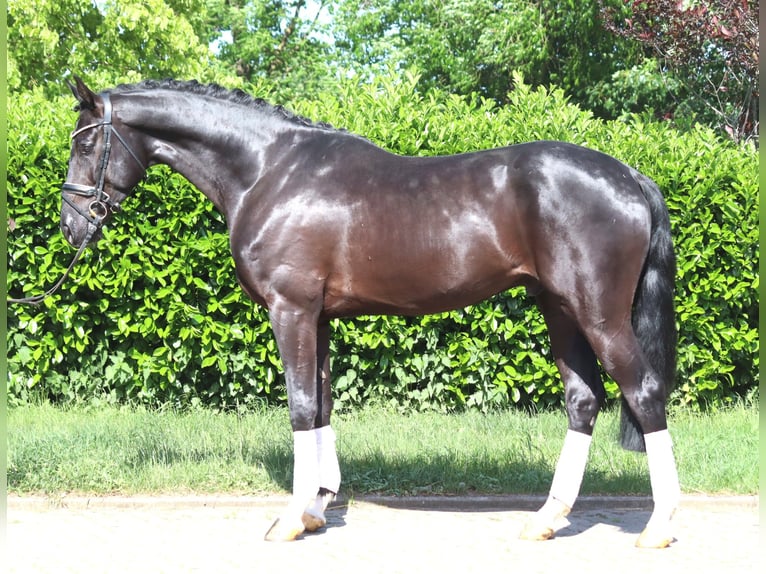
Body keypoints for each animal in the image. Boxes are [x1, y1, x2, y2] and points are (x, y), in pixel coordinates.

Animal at [61, 77, 680, 548]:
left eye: (86, 145)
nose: (71, 227)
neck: (269, 170)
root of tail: (629, 176)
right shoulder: (318, 316)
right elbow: (322, 402)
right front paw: (316, 508)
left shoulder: (291, 310)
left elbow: (300, 405)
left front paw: (290, 520)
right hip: (560, 308)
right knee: (584, 399)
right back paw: (547, 519)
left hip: (598, 314)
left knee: (644, 392)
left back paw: (659, 526)